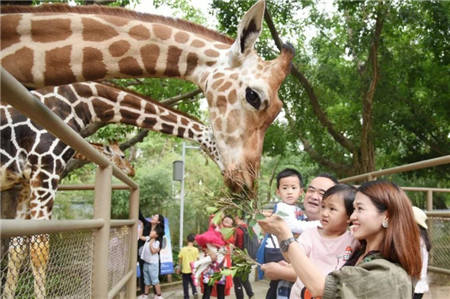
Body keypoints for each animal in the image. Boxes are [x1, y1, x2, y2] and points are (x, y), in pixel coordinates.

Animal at [0, 81, 218, 298]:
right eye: (122, 155)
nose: (132, 170)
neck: (78, 102)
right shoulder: (47, 170)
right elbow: (39, 251)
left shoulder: (25, 185)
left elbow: (16, 250)